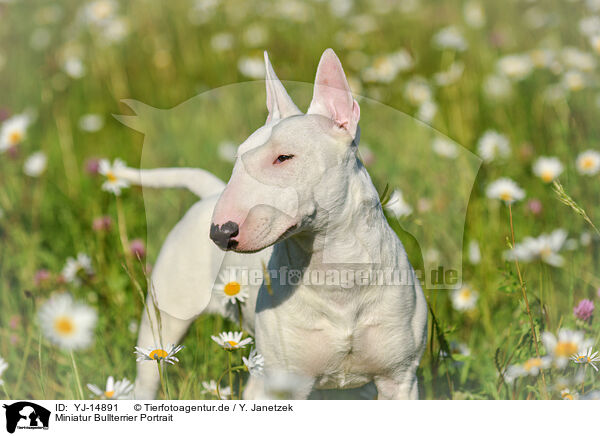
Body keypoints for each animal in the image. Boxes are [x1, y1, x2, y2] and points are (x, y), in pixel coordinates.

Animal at [116, 49, 426, 400]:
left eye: (284, 157)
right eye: (238, 160)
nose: (220, 232)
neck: (338, 278)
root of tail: (208, 192)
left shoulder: (399, 381)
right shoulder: (286, 385)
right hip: (165, 318)